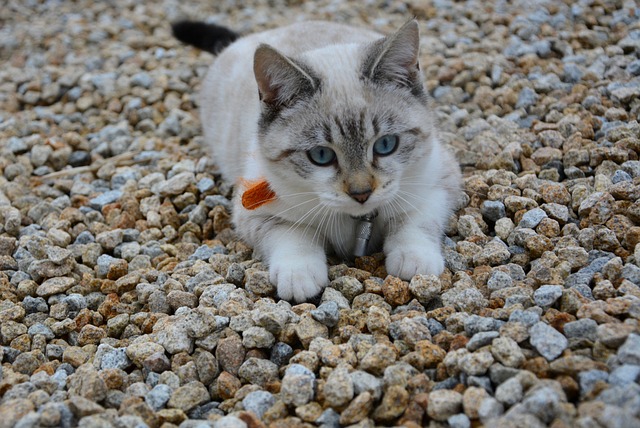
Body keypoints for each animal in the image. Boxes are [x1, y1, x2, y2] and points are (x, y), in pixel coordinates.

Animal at [172, 19, 462, 300]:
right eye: (321, 156)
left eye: (385, 145)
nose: (361, 194)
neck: (355, 220)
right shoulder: (255, 211)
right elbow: (294, 234)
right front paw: (299, 276)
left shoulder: (439, 180)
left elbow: (415, 220)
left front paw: (415, 261)